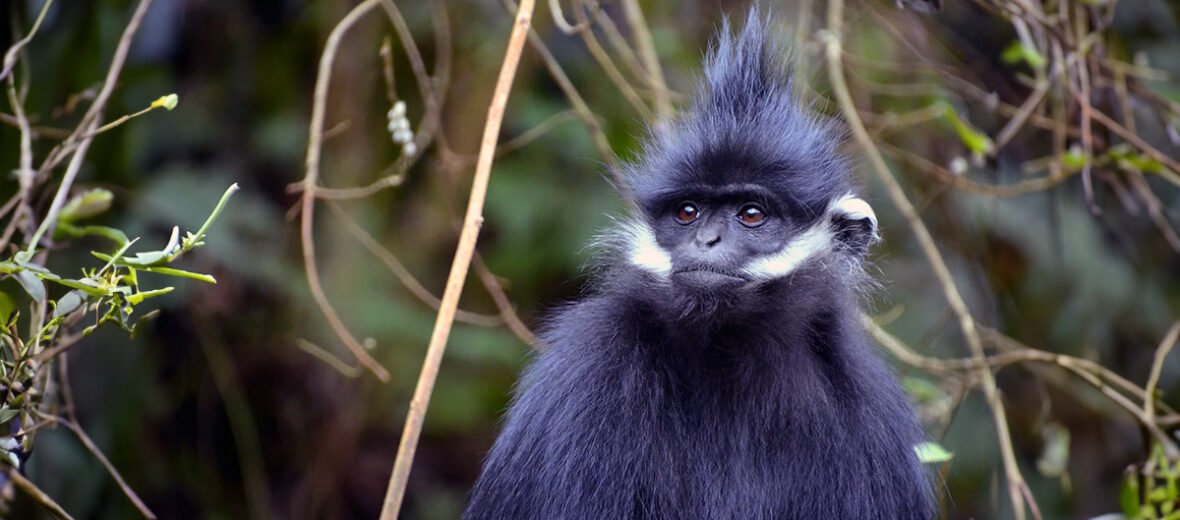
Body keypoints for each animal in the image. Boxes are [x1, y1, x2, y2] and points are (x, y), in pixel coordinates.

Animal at [460, 12, 929, 518]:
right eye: (688, 212)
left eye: (751, 214)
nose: (706, 240)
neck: (728, 360)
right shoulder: (587, 364)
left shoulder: (872, 415)